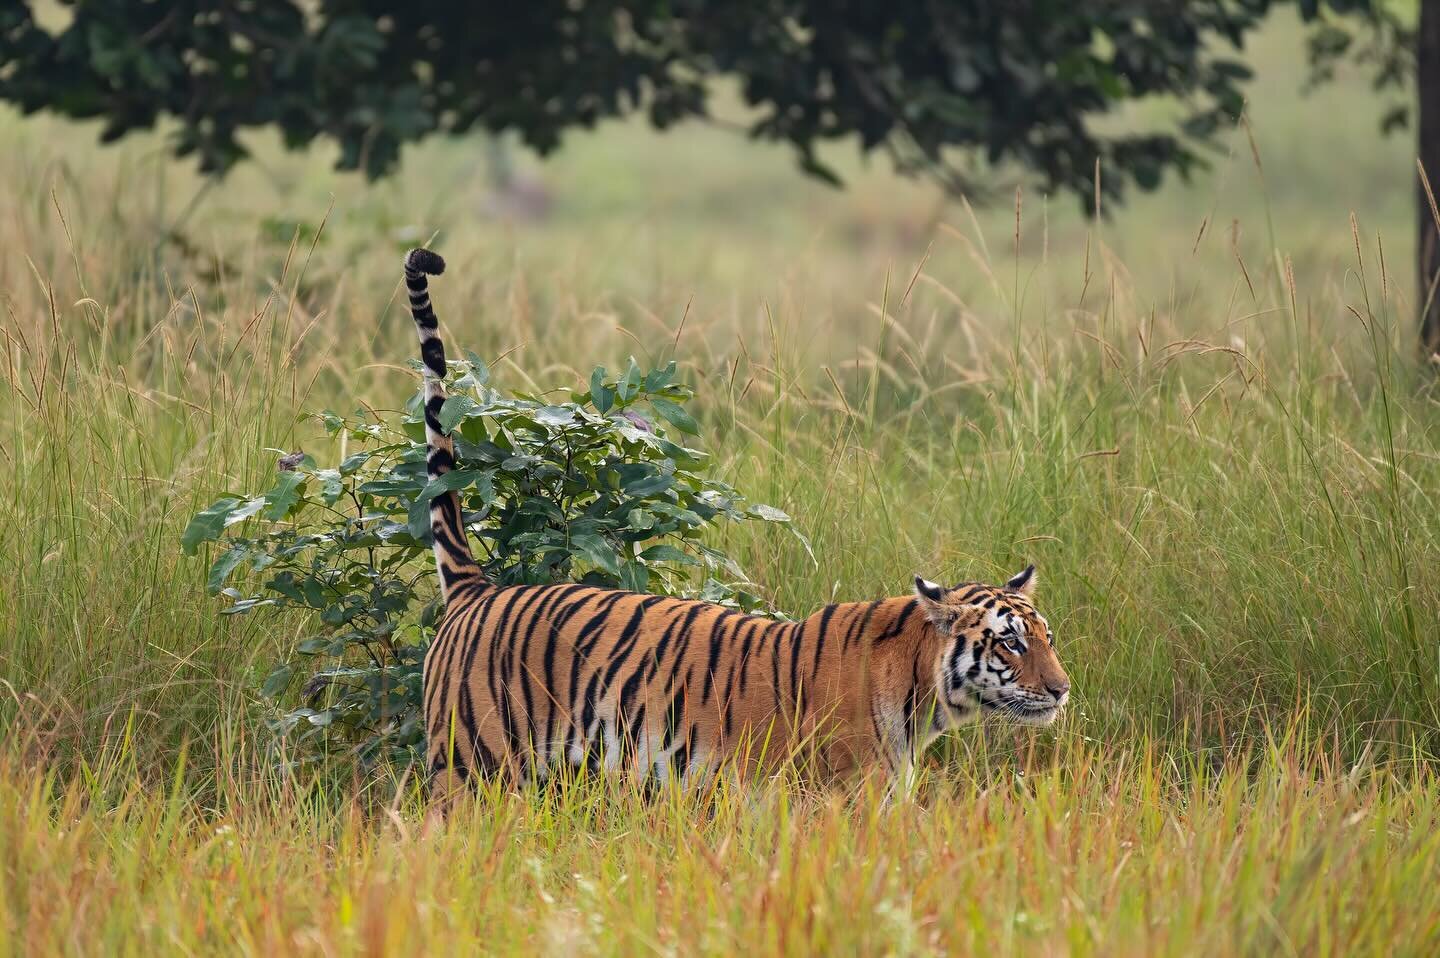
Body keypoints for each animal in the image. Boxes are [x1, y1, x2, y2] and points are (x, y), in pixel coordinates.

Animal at [403, 244, 1071, 789]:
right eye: (1010, 644)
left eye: (1046, 638)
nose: (1062, 689)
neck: (919, 689)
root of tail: (477, 591)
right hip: (471, 768)